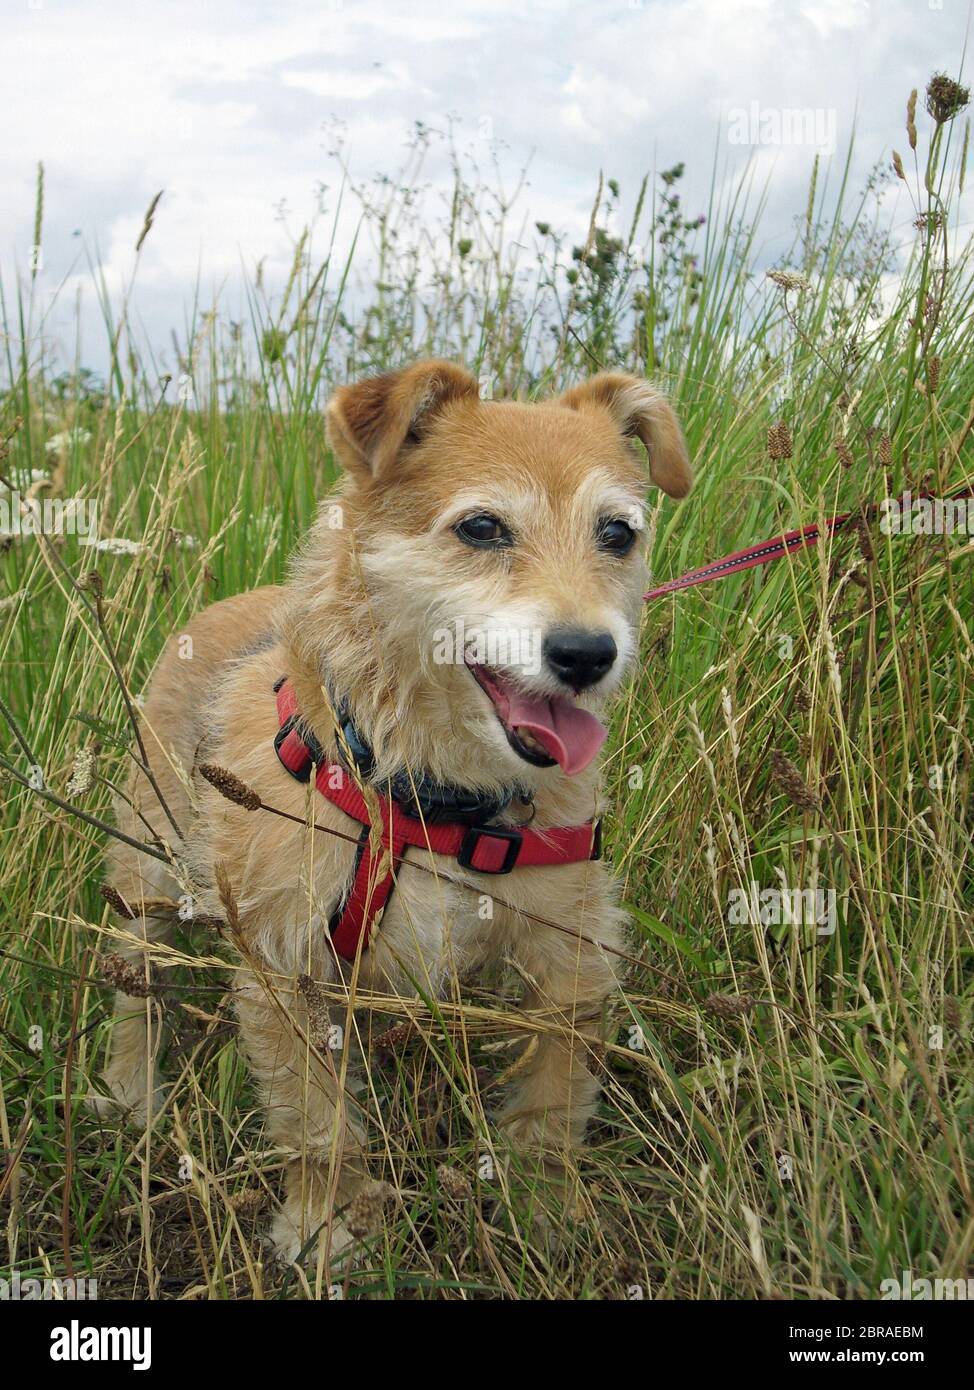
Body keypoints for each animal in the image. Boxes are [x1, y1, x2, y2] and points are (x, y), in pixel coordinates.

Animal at [87, 358, 686, 1262]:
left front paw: (545, 1213)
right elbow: (316, 1126)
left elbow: (552, 1102)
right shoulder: (286, 966)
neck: (429, 794)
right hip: (145, 878)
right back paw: (130, 1091)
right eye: (483, 527)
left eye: (617, 534)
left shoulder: (571, 954)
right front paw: (323, 1227)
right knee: (136, 990)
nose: (587, 654)